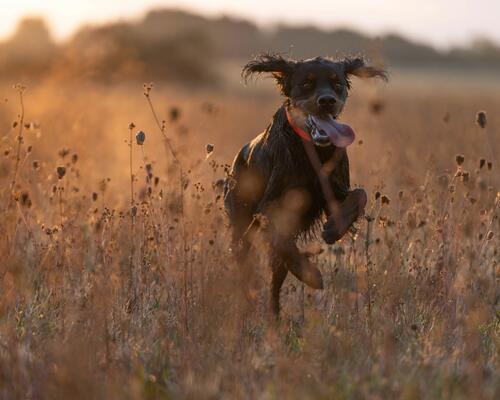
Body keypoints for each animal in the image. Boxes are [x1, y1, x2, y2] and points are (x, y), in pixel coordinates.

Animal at [224, 54, 386, 316]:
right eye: (307, 83)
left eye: (337, 83)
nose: (327, 100)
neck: (312, 148)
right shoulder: (268, 208)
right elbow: (282, 240)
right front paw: (310, 274)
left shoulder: (333, 192)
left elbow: (359, 196)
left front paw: (333, 229)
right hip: (241, 230)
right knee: (248, 267)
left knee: (276, 280)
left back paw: (274, 318)